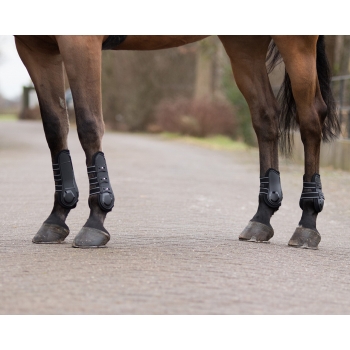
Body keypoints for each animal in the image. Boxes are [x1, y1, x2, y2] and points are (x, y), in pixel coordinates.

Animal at [13, 34, 340, 249]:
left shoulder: (80, 41)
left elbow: (89, 125)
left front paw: (96, 219)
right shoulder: (35, 47)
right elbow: (55, 128)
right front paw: (57, 217)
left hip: (296, 43)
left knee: (311, 120)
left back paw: (307, 223)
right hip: (244, 45)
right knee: (265, 118)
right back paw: (261, 218)